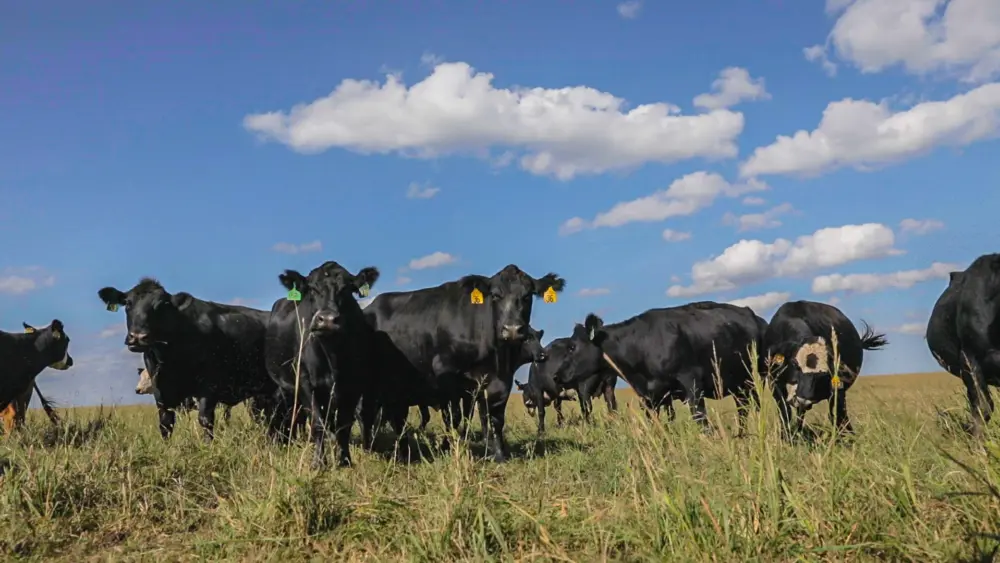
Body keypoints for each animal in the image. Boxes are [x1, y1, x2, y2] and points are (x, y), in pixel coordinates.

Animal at [98, 278, 281, 441]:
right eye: (128, 303)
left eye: (161, 306)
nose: (137, 337)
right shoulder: (161, 393)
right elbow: (165, 424)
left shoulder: (209, 387)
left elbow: (205, 421)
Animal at [264, 261, 380, 469]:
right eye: (312, 288)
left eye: (346, 289)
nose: (327, 320)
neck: (332, 356)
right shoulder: (304, 382)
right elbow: (318, 423)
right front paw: (318, 462)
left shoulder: (353, 386)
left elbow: (344, 425)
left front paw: (344, 460)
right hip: (284, 384)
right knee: (283, 409)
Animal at [364, 264, 565, 462]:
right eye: (495, 295)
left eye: (527, 296)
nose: (512, 329)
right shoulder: (447, 376)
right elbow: (454, 417)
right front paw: (449, 447)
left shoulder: (498, 383)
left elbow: (494, 418)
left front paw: (498, 454)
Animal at [545, 302, 768, 435]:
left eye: (572, 347)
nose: (556, 376)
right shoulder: (651, 396)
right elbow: (656, 422)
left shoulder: (691, 381)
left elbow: (700, 418)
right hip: (739, 384)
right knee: (743, 407)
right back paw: (741, 434)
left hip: (756, 378)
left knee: (752, 406)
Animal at [764, 300, 888, 437]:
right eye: (795, 364)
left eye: (823, 374)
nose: (803, 400)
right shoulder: (774, 383)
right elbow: (785, 412)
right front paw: (786, 437)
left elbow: (836, 414)